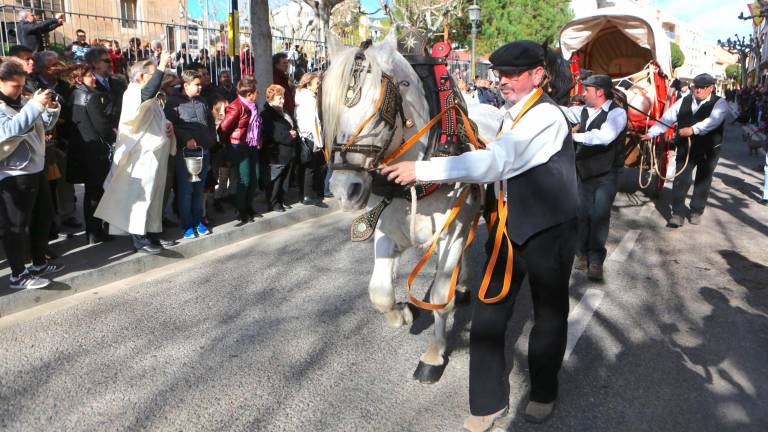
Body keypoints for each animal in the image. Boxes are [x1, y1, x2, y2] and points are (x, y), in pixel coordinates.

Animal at [320, 33, 500, 382]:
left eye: (381, 108)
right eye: (328, 109)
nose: (344, 190)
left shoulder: (450, 234)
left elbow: (441, 300)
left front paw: (433, 355)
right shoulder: (387, 231)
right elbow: (379, 292)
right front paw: (403, 311)